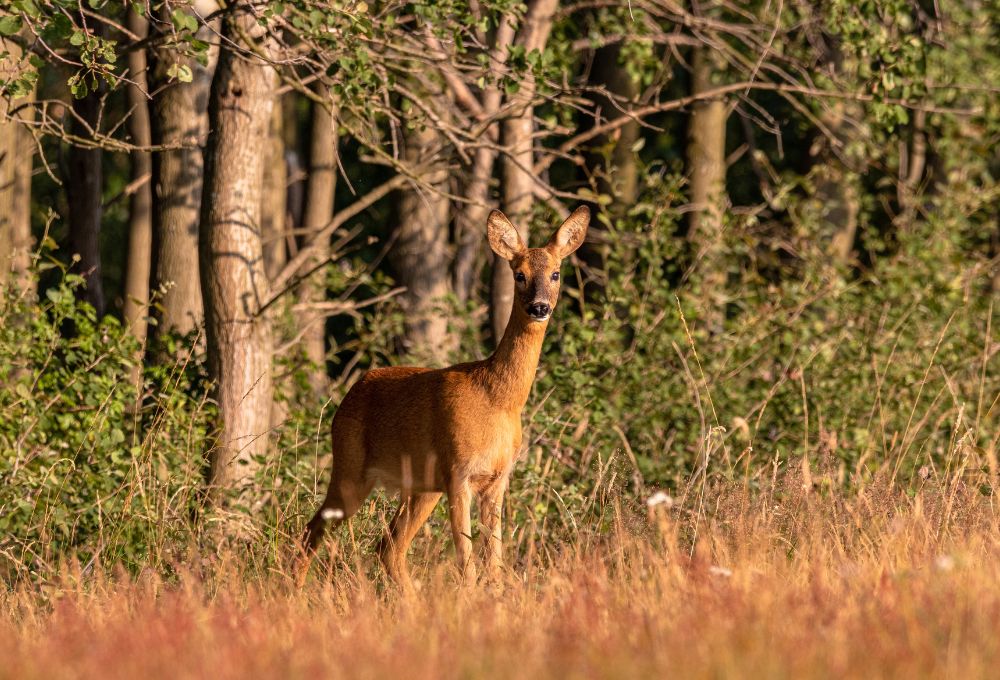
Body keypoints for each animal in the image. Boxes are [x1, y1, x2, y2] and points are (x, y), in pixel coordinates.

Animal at [300, 205, 588, 588]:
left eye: (556, 274)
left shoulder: (497, 480)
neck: (498, 398)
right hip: (351, 467)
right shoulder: (458, 472)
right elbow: (467, 563)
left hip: (421, 486)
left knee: (387, 547)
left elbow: (494, 564)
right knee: (312, 532)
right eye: (519, 275)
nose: (539, 307)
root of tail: (350, 394)